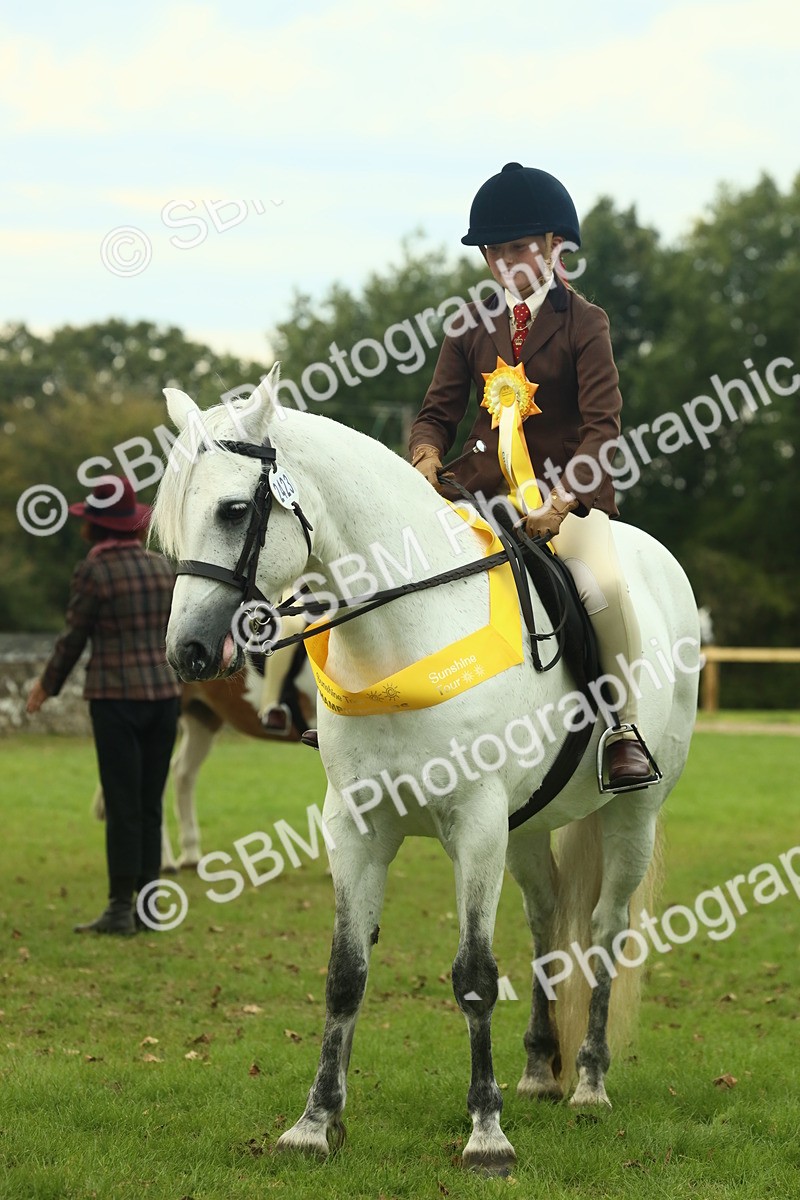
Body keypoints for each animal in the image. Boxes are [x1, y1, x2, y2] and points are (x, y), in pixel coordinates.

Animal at [151, 370, 699, 1174]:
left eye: (233, 509)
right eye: (172, 524)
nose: (187, 652)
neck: (402, 636)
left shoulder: (474, 823)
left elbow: (473, 975)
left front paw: (486, 1135)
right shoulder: (357, 826)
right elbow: (345, 973)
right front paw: (314, 1123)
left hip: (633, 812)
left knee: (604, 927)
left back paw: (590, 1082)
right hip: (526, 828)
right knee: (546, 919)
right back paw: (540, 1069)